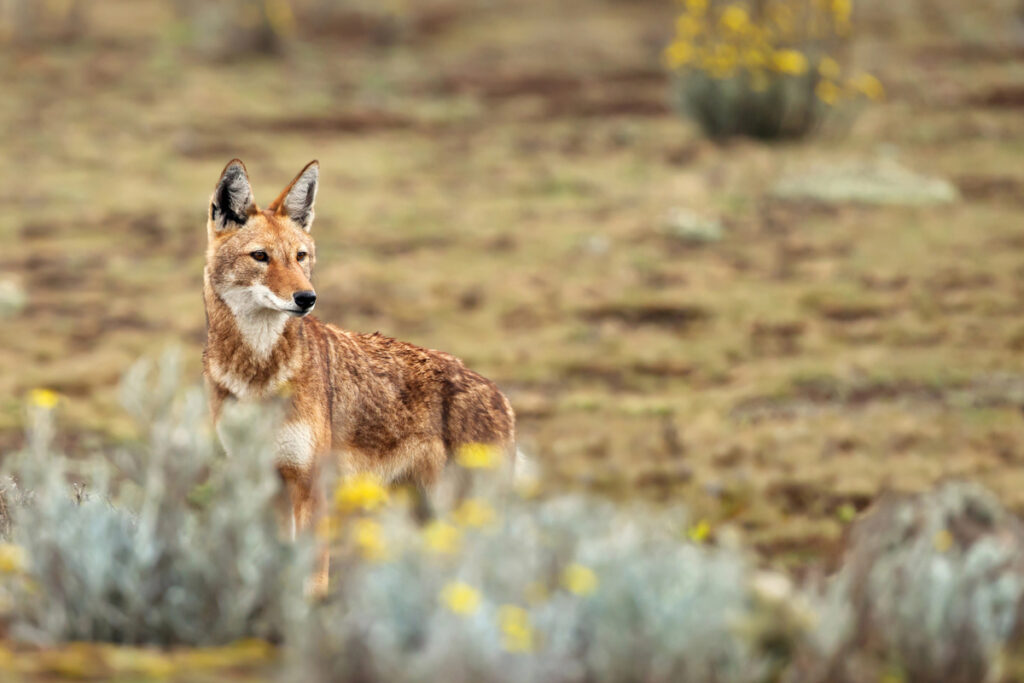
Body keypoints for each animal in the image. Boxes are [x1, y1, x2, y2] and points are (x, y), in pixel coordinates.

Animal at [202, 159, 515, 593]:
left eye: (300, 256)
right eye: (260, 256)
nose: (307, 298)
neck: (257, 376)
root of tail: (500, 394)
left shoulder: (311, 486)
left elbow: (313, 581)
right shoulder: (264, 485)